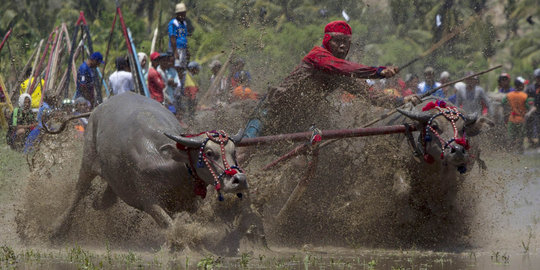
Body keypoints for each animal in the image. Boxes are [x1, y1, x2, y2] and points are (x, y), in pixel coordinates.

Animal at [50, 93, 249, 238]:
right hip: (88, 159)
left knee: (106, 198)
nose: (239, 179)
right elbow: (169, 224)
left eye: (233, 152)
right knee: (79, 191)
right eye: (208, 153)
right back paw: (57, 229)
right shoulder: (150, 202)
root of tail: (96, 109)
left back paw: (97, 200)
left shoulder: (190, 202)